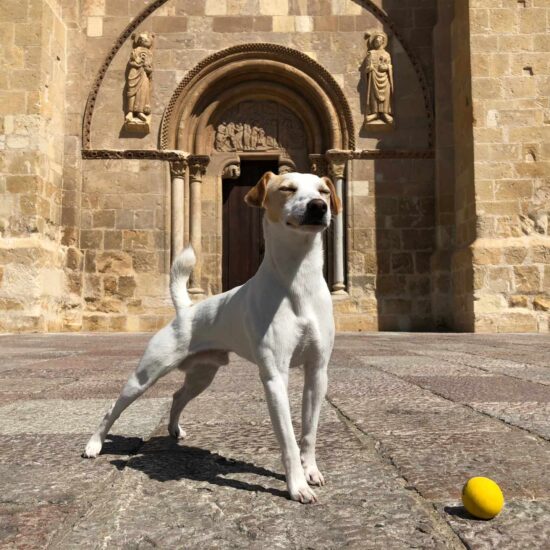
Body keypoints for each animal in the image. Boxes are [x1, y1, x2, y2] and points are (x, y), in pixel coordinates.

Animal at [83, 171, 340, 504]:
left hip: (202, 376)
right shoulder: (275, 377)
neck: (299, 282)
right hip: (145, 375)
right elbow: (288, 441)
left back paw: (174, 430)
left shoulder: (317, 371)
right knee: (111, 409)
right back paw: (94, 445)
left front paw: (311, 471)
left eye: (323, 190)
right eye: (287, 188)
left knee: (178, 396)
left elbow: (308, 432)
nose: (319, 207)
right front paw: (296, 486)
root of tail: (185, 311)